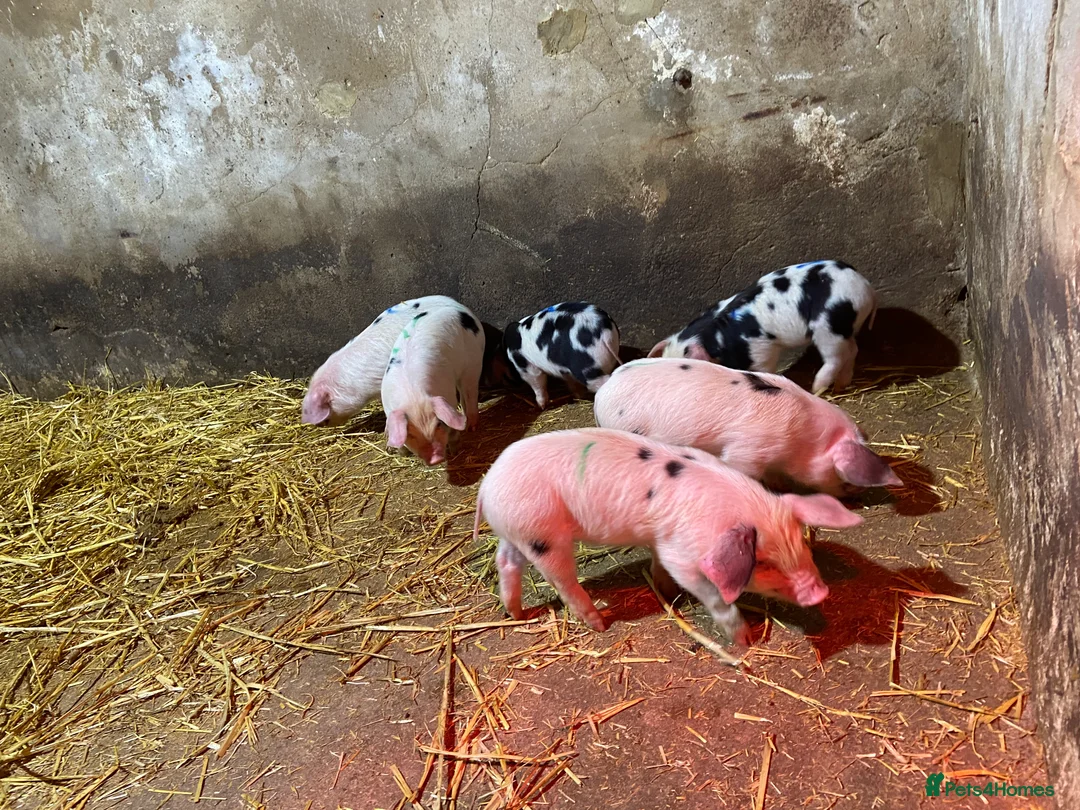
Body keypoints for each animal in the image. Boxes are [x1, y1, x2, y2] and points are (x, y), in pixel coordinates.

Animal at [381, 302, 486, 465]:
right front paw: (401, 452)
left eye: (438, 424)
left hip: (474, 363)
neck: (413, 397)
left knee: (471, 393)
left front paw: (455, 449)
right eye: (410, 434)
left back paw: (471, 427)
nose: (436, 459)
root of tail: (460, 310)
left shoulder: (448, 395)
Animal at [474, 427, 862, 644]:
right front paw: (745, 642)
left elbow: (660, 567)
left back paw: (516, 613)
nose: (820, 592)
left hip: (517, 532)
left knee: (506, 561)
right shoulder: (683, 556)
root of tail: (487, 485)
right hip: (543, 535)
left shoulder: (663, 542)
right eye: (763, 562)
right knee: (562, 580)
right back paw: (599, 625)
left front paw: (666, 593)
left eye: (801, 543)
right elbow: (715, 597)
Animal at [649, 260, 877, 394]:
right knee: (852, 350)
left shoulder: (761, 348)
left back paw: (816, 388)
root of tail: (866, 286)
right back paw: (842, 384)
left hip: (828, 327)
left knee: (834, 357)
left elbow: (763, 369)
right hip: (845, 328)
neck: (718, 337)